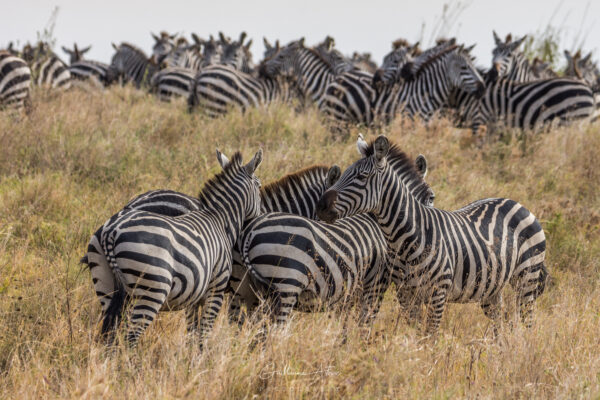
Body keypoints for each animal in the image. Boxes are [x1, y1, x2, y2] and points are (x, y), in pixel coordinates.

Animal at [97, 148, 262, 346]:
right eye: (260, 187)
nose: (260, 217)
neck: (221, 220)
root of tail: (112, 232)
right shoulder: (217, 286)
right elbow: (204, 332)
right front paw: (203, 354)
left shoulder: (195, 295)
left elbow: (193, 331)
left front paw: (191, 354)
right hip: (153, 288)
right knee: (131, 337)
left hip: (108, 288)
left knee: (110, 335)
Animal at [318, 136, 548, 336]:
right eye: (344, 173)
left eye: (362, 177)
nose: (321, 205)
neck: (404, 239)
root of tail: (515, 202)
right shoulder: (406, 294)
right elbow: (417, 333)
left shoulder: (438, 293)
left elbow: (431, 336)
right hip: (492, 287)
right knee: (499, 323)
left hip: (527, 276)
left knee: (527, 321)